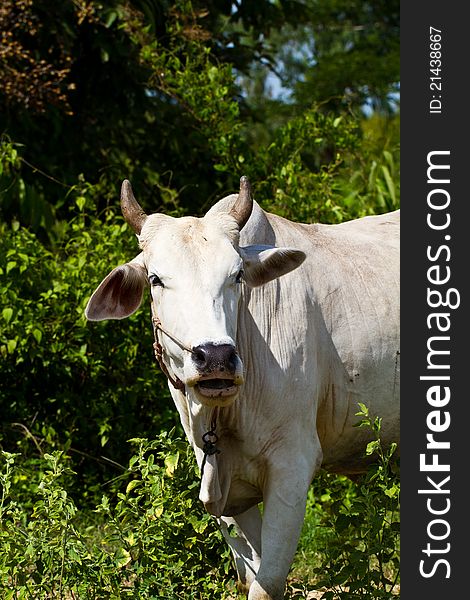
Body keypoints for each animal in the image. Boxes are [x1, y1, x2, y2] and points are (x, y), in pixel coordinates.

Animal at [86, 178, 398, 600]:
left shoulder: (292, 464)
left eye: (236, 276)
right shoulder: (223, 485)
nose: (215, 357)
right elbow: (249, 574)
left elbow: (267, 583)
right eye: (155, 279)